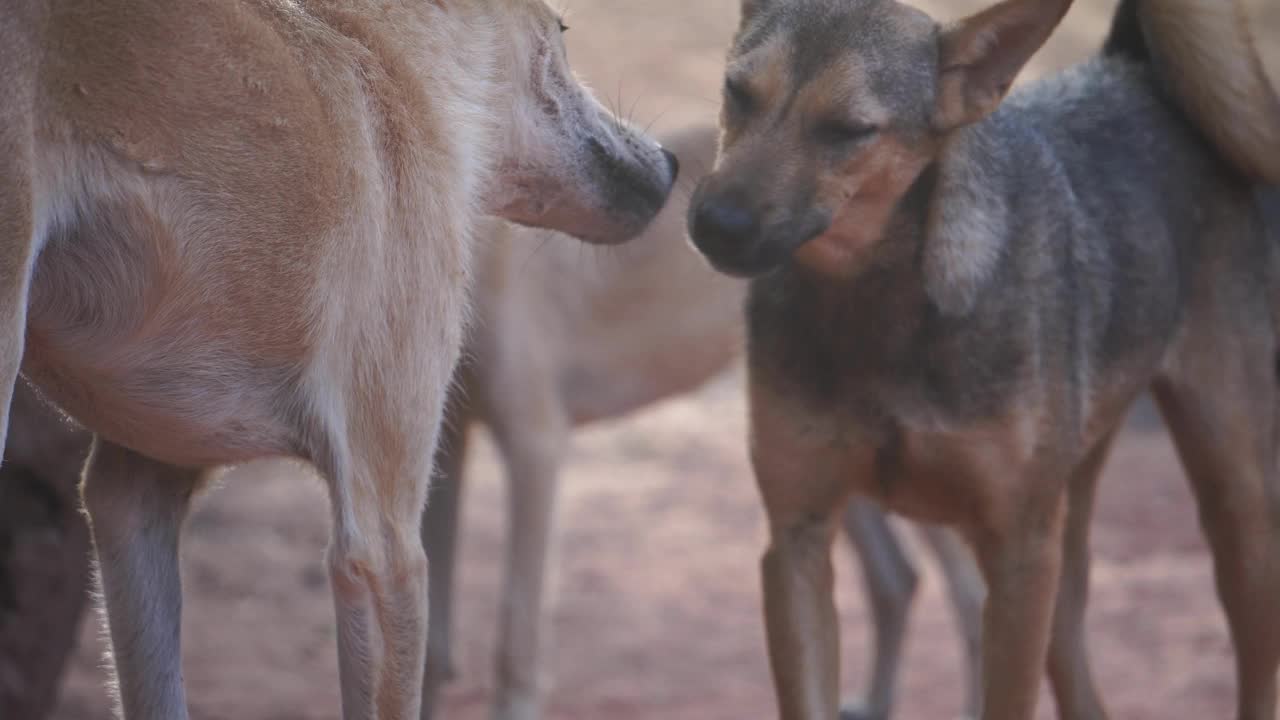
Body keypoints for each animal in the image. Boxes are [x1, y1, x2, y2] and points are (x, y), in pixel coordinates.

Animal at [417, 122, 977, 717]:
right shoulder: (443, 450)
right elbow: (433, 642)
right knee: (896, 577)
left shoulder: (535, 443)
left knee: (969, 595)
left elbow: (515, 642)